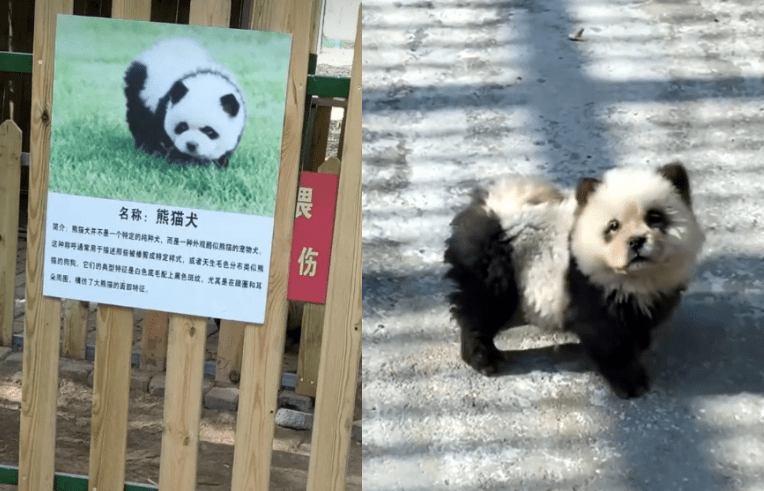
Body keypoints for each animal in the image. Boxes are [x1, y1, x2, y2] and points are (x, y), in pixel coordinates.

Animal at [124, 38, 246, 168]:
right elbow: (162, 137)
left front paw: (216, 163)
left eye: (209, 131)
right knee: (140, 121)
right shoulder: (164, 109)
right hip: (140, 88)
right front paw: (176, 160)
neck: (208, 85)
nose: (191, 145)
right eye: (182, 126)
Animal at [444, 162, 705, 398]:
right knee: (481, 310)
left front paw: (641, 344)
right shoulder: (591, 291)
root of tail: (491, 209)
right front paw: (630, 383)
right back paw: (483, 359)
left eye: (655, 217)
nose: (636, 241)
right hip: (494, 267)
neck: (636, 277)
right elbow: (609, 341)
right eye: (613, 226)